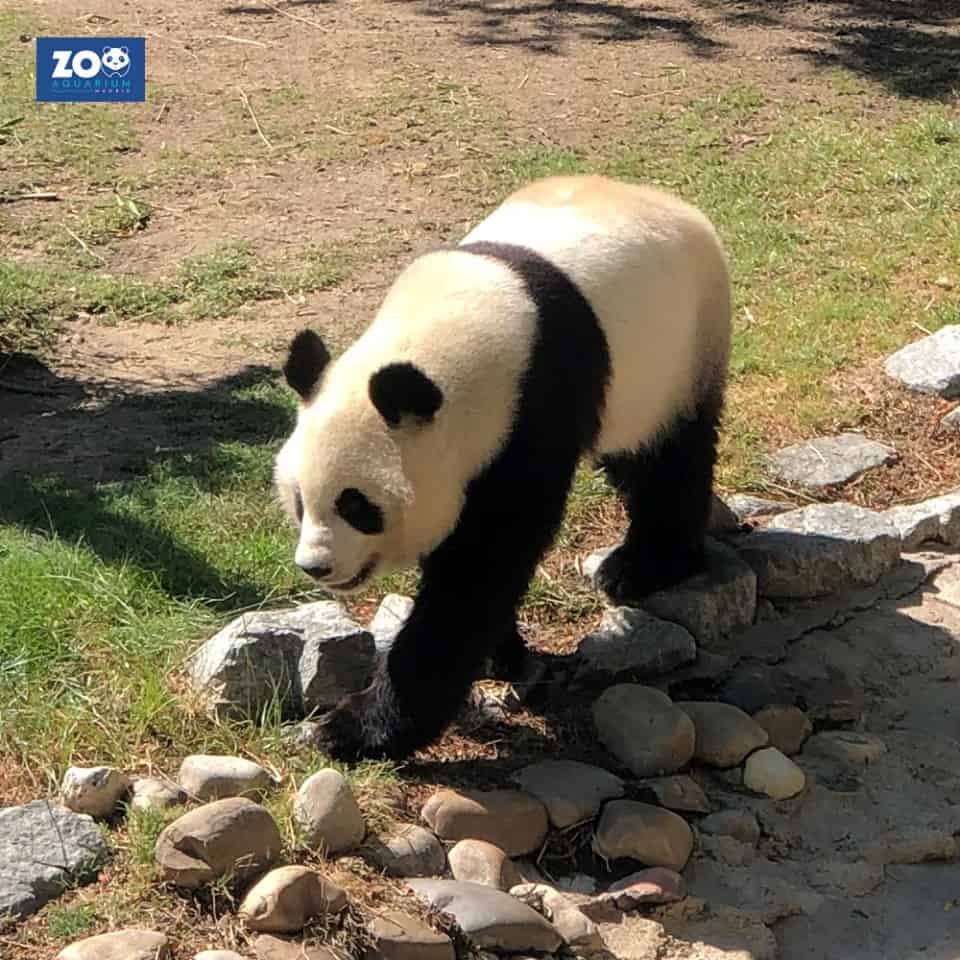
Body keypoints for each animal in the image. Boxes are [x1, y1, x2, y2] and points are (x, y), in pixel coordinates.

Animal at [274, 171, 732, 756]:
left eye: (356, 505)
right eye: (299, 501)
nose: (316, 566)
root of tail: (672, 204)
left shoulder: (532, 411)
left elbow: (482, 567)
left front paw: (354, 727)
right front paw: (501, 653)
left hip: (679, 347)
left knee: (668, 457)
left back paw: (643, 567)